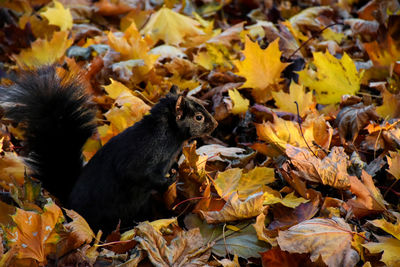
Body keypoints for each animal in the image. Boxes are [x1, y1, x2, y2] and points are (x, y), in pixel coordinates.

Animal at [0, 67, 217, 234]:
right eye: (198, 117)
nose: (214, 124)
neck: (167, 136)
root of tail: (69, 205)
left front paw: (176, 172)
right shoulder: (141, 157)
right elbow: (138, 174)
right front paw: (168, 180)